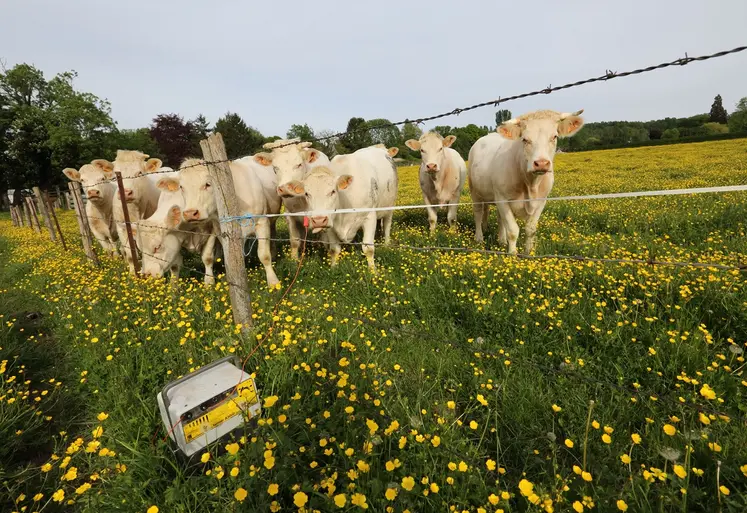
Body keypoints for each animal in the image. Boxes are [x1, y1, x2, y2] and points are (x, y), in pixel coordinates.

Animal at [178, 158, 280, 286]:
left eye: (208, 184)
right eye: (181, 187)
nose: (190, 213)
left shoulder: (262, 222)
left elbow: (264, 255)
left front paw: (273, 281)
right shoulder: (219, 230)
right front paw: (210, 281)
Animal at [468, 109, 584, 253]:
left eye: (554, 137)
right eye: (524, 139)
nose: (541, 163)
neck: (530, 185)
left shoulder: (541, 201)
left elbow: (530, 229)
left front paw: (528, 253)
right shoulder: (502, 199)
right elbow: (513, 230)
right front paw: (512, 254)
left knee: (500, 219)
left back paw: (501, 241)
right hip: (475, 191)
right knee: (478, 213)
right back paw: (479, 238)